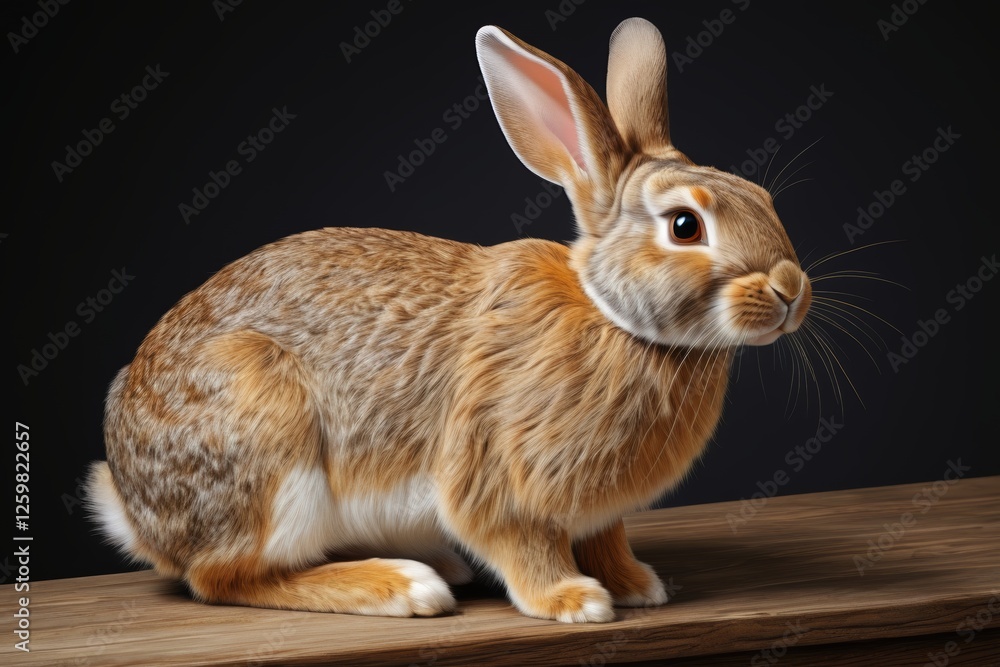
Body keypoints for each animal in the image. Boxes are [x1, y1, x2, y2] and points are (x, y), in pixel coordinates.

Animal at [85, 17, 811, 623]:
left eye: (762, 197)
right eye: (685, 226)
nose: (792, 290)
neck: (615, 318)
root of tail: (134, 503)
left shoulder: (596, 512)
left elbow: (607, 538)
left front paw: (637, 584)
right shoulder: (494, 471)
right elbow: (520, 541)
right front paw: (573, 600)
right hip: (265, 443)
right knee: (225, 577)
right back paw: (404, 585)